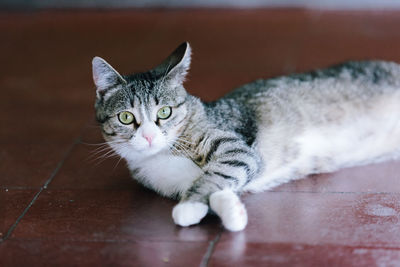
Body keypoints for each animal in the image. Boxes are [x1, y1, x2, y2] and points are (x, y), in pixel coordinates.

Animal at [92, 42, 400, 232]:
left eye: (164, 112)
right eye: (126, 117)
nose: (148, 137)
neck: (161, 156)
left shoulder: (236, 148)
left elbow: (213, 177)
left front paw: (187, 210)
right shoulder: (178, 181)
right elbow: (216, 187)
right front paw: (233, 212)